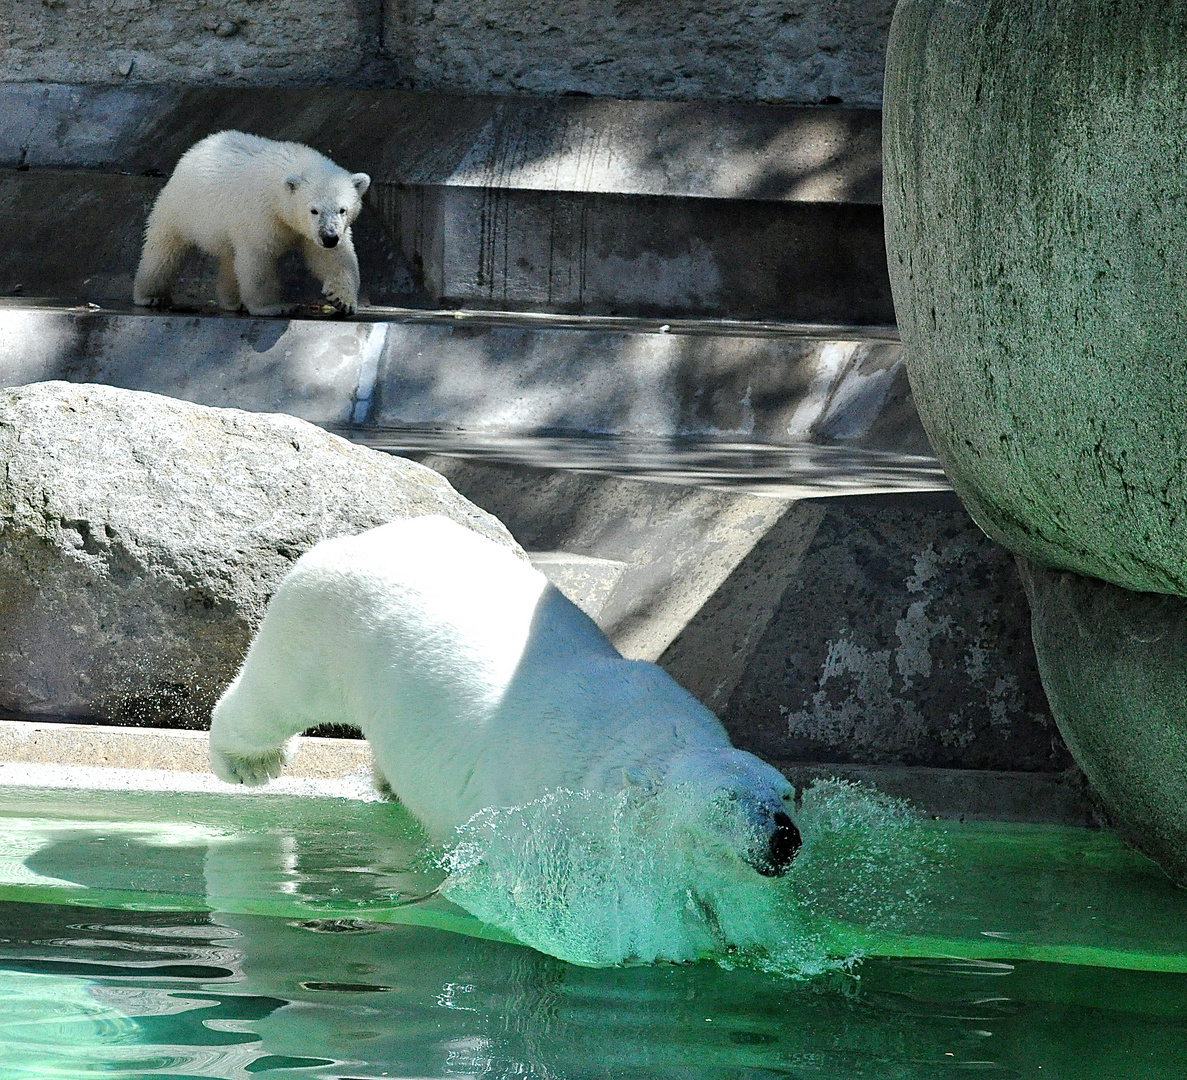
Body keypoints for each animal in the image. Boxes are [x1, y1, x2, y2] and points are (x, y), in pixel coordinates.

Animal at [133, 132, 370, 318]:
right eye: (314, 210)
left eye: (342, 209)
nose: (329, 237)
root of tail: (193, 150)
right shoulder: (262, 214)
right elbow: (258, 257)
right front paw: (273, 307)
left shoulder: (311, 231)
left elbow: (333, 257)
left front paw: (342, 299)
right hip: (182, 208)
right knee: (164, 249)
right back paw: (150, 295)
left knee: (230, 256)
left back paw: (232, 300)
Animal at [212, 515, 802, 878]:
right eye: (724, 801)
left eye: (787, 794)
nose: (785, 839)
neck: (641, 740)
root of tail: (354, 538)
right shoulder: (537, 800)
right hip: (329, 622)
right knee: (278, 691)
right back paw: (249, 762)